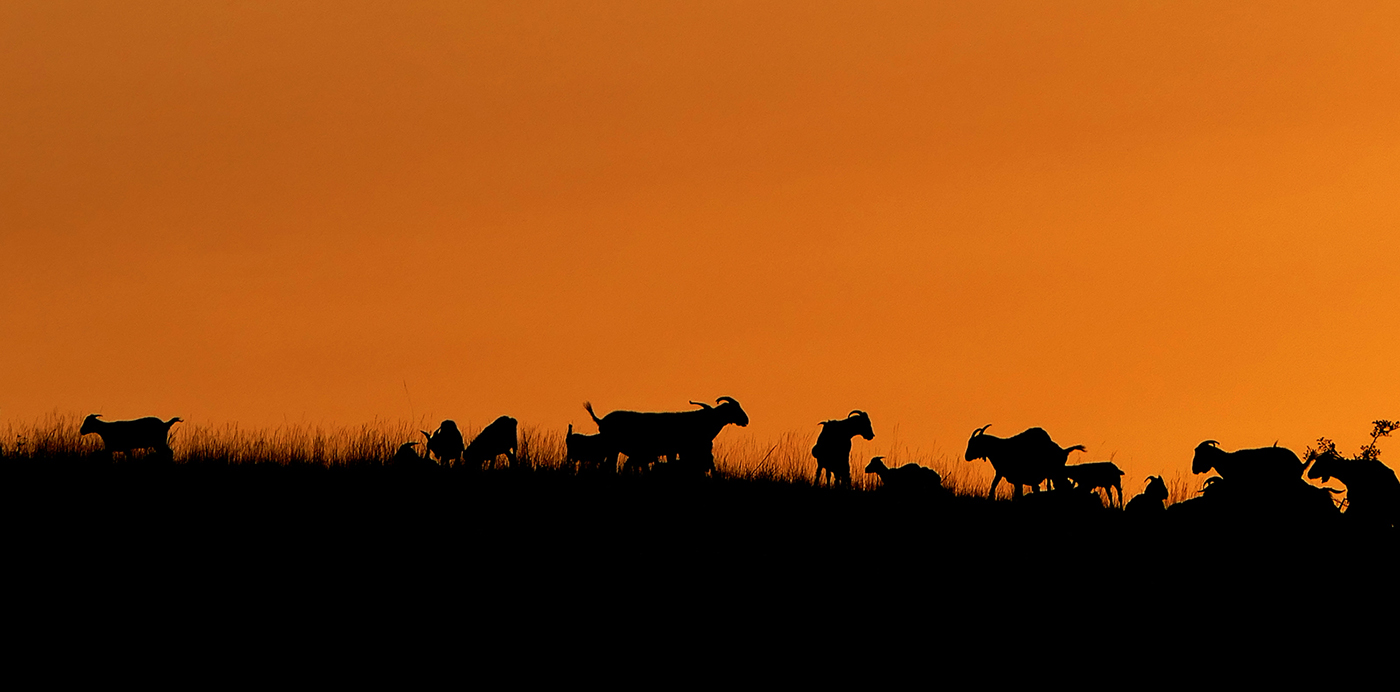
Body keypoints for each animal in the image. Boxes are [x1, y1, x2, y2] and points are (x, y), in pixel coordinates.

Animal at [585, 397, 750, 473]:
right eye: (734, 408)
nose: (746, 420)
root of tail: (601, 420)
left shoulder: (676, 451)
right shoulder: (682, 451)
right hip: (612, 448)